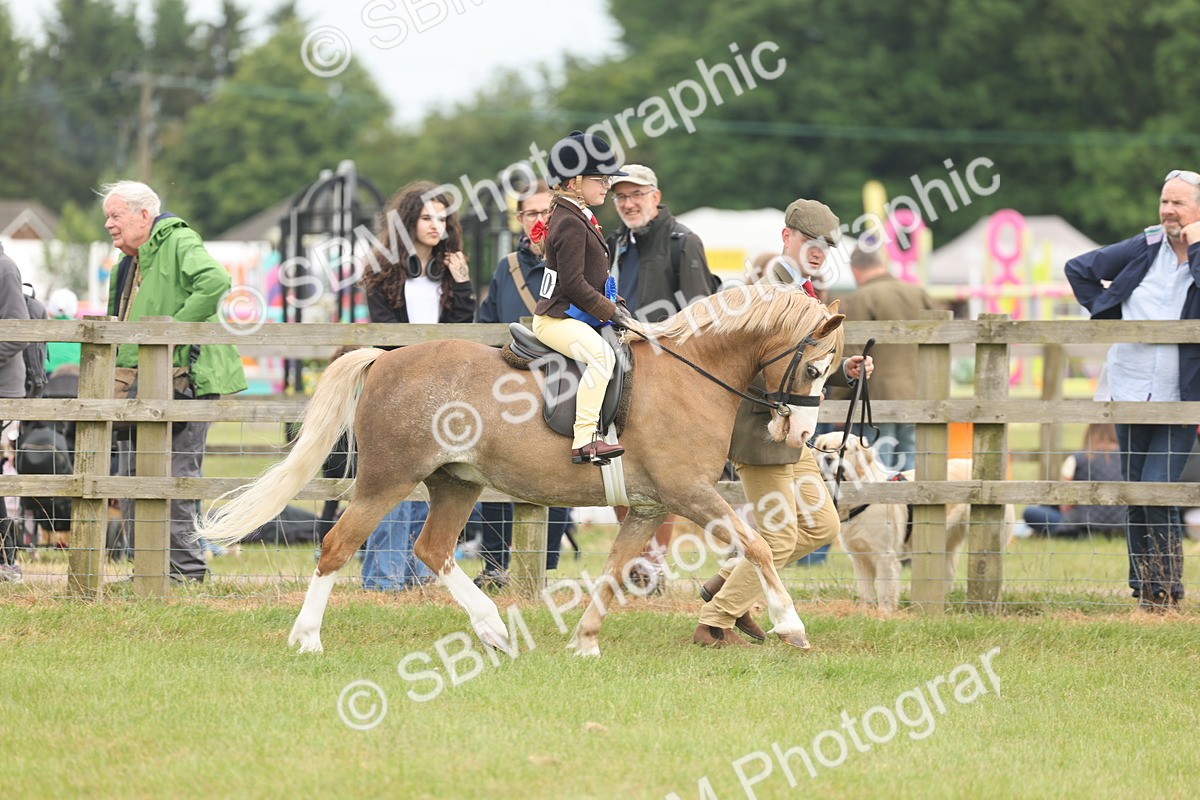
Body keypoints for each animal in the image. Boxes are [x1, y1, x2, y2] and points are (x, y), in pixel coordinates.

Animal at [195, 285, 845, 656]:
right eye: (815, 369)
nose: (800, 436)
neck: (693, 375)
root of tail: (384, 359)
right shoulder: (690, 494)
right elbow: (756, 546)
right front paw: (791, 626)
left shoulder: (648, 507)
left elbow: (613, 572)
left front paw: (584, 642)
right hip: (387, 481)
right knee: (337, 546)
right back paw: (307, 639)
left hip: (456, 483)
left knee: (433, 550)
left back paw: (493, 631)